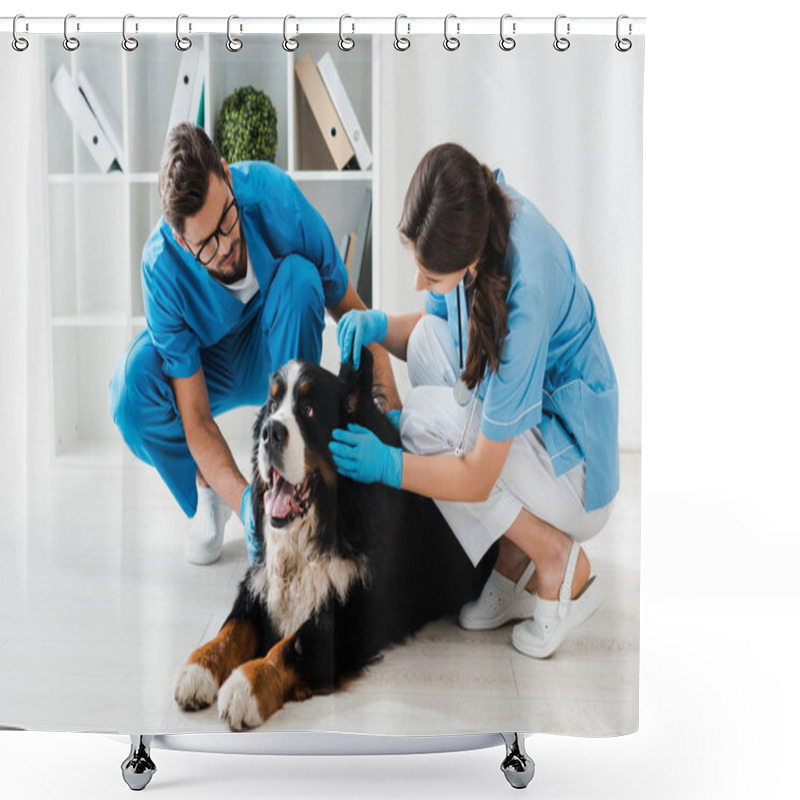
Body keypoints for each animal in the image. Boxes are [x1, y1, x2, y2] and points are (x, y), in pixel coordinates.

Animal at [173, 346, 494, 728]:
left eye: (309, 409)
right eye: (272, 405)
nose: (269, 431)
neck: (322, 525)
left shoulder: (352, 616)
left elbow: (293, 645)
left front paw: (243, 687)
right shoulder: (260, 580)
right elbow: (231, 629)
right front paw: (197, 670)